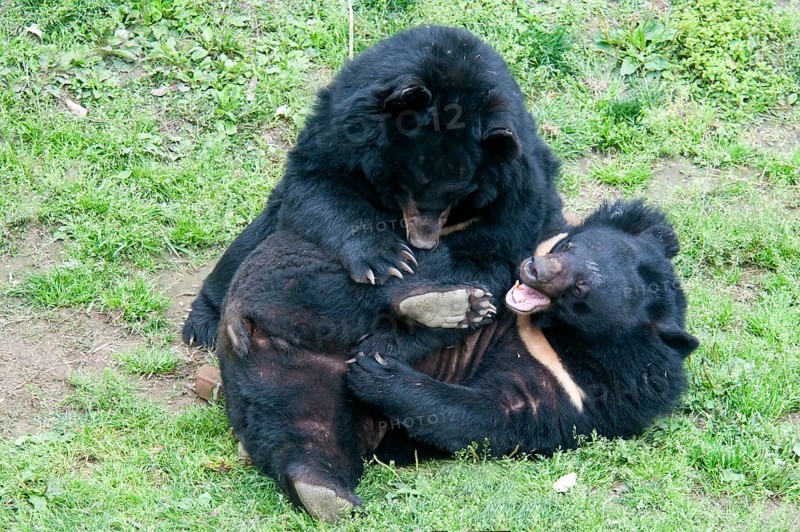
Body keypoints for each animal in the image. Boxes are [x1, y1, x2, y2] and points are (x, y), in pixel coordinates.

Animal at [183, 25, 565, 358]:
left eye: (457, 197)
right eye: (409, 185)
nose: (422, 242)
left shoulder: (518, 189)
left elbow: (493, 252)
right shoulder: (345, 125)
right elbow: (317, 181)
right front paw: (387, 259)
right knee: (246, 247)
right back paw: (203, 323)